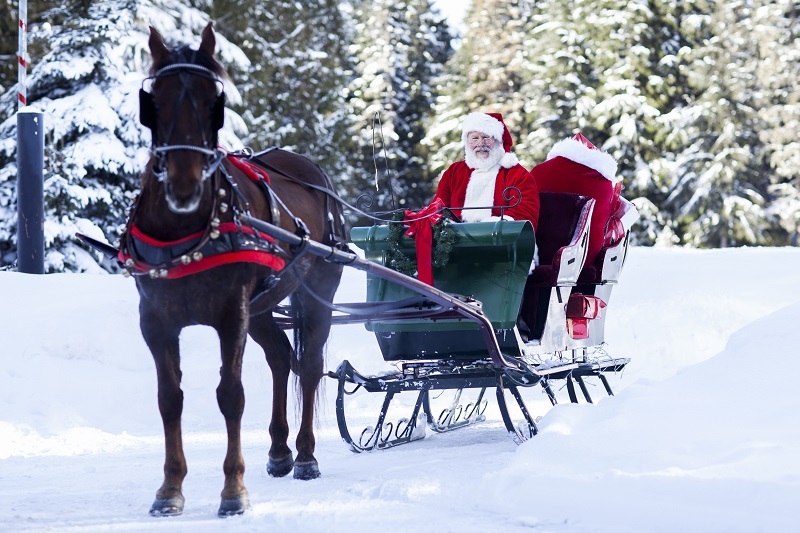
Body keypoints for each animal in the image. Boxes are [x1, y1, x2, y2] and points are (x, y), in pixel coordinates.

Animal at [126, 21, 346, 516]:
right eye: (155, 100)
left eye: (215, 99)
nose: (185, 184)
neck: (186, 233)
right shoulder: (156, 321)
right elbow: (169, 399)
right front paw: (169, 489)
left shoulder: (231, 315)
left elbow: (231, 395)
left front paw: (233, 491)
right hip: (262, 305)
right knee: (281, 357)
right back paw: (280, 450)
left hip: (316, 292)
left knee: (308, 365)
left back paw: (305, 455)